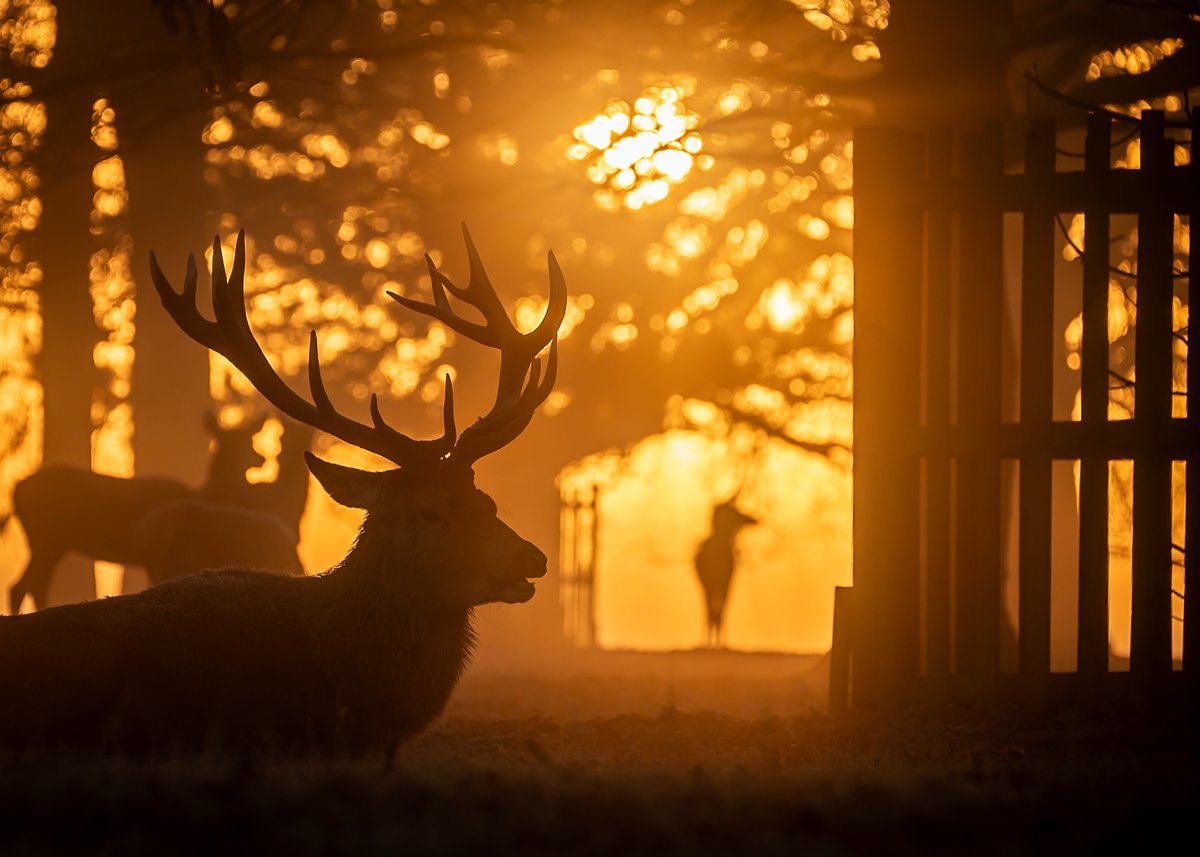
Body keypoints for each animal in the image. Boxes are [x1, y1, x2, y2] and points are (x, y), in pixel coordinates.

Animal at [3, 412, 267, 613]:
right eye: (249, 442)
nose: (262, 458)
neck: (202, 493)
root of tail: (16, 489)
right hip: (47, 538)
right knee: (29, 585)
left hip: (46, 542)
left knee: (25, 585)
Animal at [694, 499, 757, 648]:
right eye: (734, 510)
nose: (754, 519)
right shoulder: (715, 584)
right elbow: (716, 610)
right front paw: (713, 643)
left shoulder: (726, 582)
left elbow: (722, 609)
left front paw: (721, 643)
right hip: (708, 586)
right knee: (711, 610)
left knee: (716, 610)